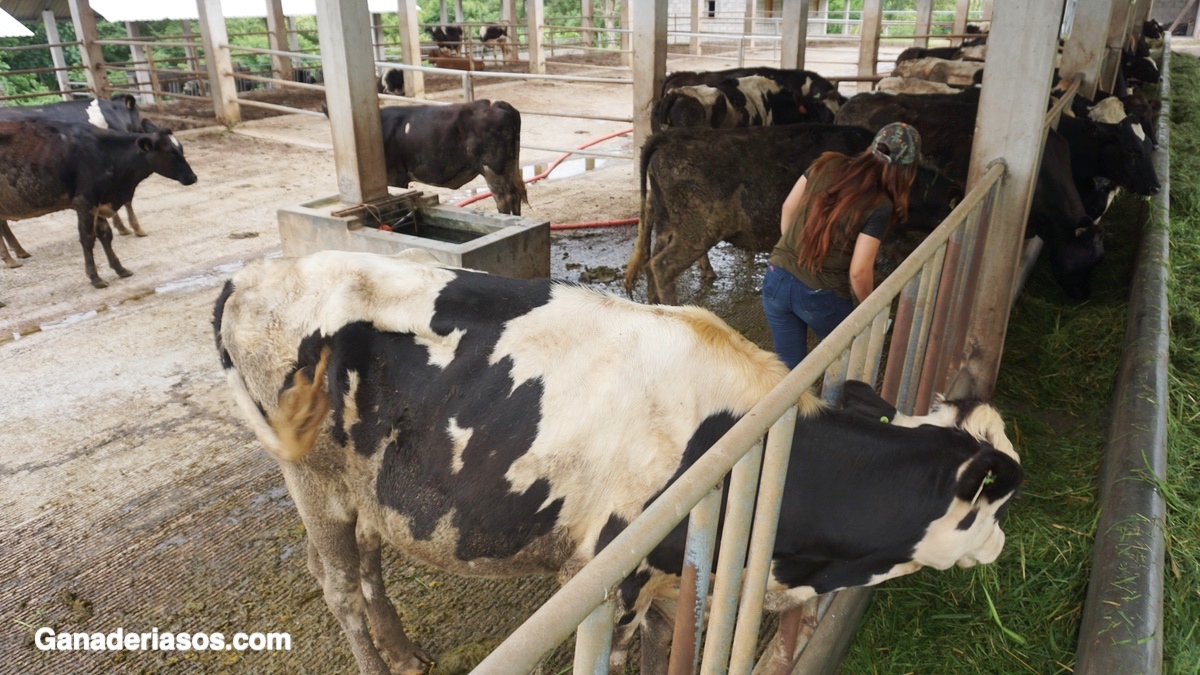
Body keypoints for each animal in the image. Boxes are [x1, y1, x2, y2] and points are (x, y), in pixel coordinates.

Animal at [0, 121, 196, 284]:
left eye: (181, 148)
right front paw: (94, 277)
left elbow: (105, 234)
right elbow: (87, 239)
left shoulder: (100, 202)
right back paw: (10, 260)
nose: (192, 177)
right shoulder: (85, 202)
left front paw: (120, 268)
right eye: (170, 152)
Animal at [218, 247, 1022, 672]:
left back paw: (406, 653)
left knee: (368, 566)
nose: (1005, 544)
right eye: (996, 500)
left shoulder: (677, 576)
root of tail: (255, 272)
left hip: (366, 489)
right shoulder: (612, 574)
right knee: (338, 585)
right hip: (312, 481)